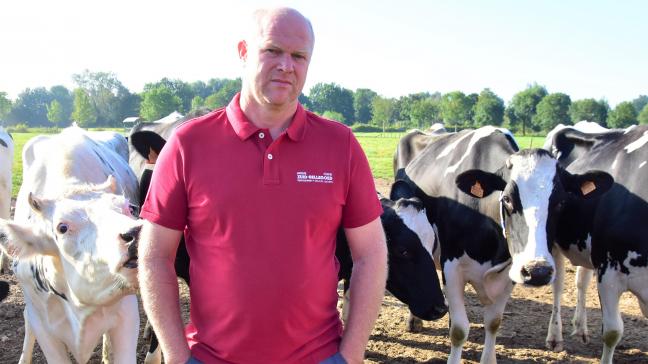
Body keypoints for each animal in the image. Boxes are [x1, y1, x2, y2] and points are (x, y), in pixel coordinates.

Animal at [394, 126, 612, 364]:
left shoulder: (511, 271)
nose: (538, 271)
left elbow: (493, 323)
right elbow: (459, 330)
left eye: (561, 202)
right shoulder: (452, 267)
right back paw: (414, 320)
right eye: (507, 199)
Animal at [540, 121, 648, 362]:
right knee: (559, 285)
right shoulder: (609, 274)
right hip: (554, 244)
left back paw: (581, 328)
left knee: (581, 282)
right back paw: (555, 336)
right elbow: (612, 332)